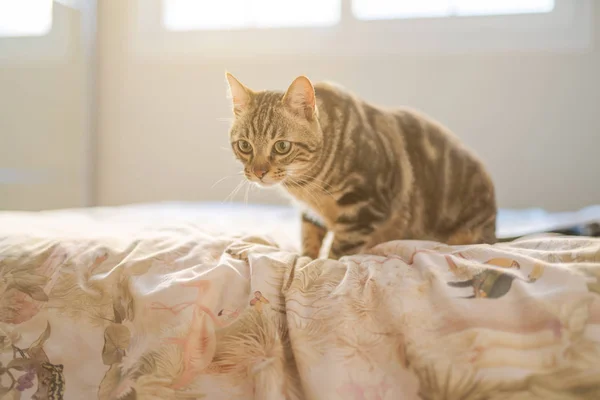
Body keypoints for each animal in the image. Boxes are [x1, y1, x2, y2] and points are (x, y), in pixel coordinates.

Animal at [225, 72, 496, 260]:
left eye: (282, 146)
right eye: (245, 146)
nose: (259, 172)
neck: (307, 186)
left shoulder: (366, 208)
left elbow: (338, 252)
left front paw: (322, 265)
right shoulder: (312, 215)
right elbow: (309, 238)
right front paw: (305, 258)